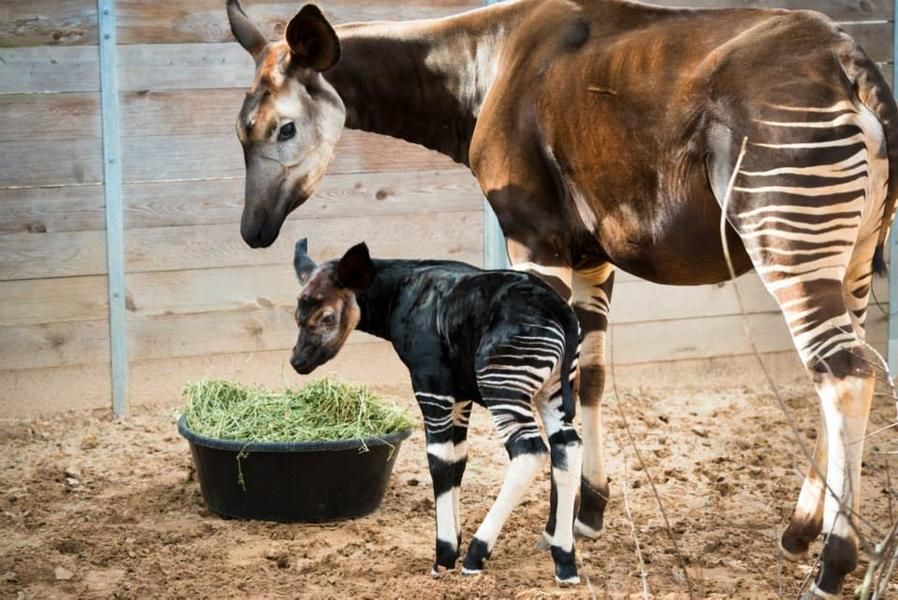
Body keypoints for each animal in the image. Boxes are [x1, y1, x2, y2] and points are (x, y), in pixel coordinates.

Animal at [288, 239, 580, 580]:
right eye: (296, 316)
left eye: (328, 318)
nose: (297, 362)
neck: (400, 295)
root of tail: (560, 310)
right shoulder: (460, 397)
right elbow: (458, 461)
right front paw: (454, 540)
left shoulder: (431, 387)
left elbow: (439, 462)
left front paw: (445, 555)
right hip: (554, 390)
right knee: (567, 447)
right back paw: (565, 562)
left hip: (503, 384)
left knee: (529, 453)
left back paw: (477, 555)